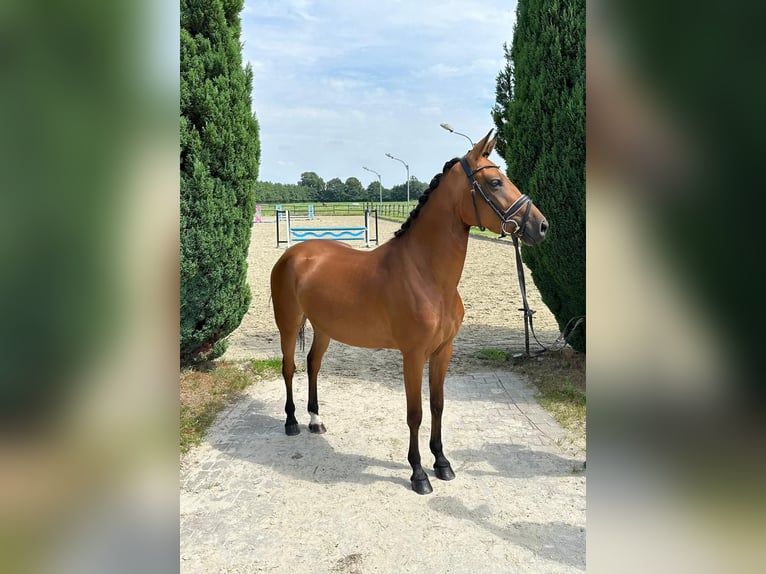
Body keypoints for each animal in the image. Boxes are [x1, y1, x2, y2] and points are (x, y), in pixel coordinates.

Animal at [272, 130, 548, 496]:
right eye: (494, 182)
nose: (541, 226)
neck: (425, 274)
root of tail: (294, 254)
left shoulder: (444, 351)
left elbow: (437, 406)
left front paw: (442, 463)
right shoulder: (413, 355)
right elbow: (414, 413)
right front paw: (418, 473)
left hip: (324, 329)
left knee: (313, 365)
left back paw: (315, 420)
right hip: (289, 325)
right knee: (289, 368)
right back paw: (291, 422)